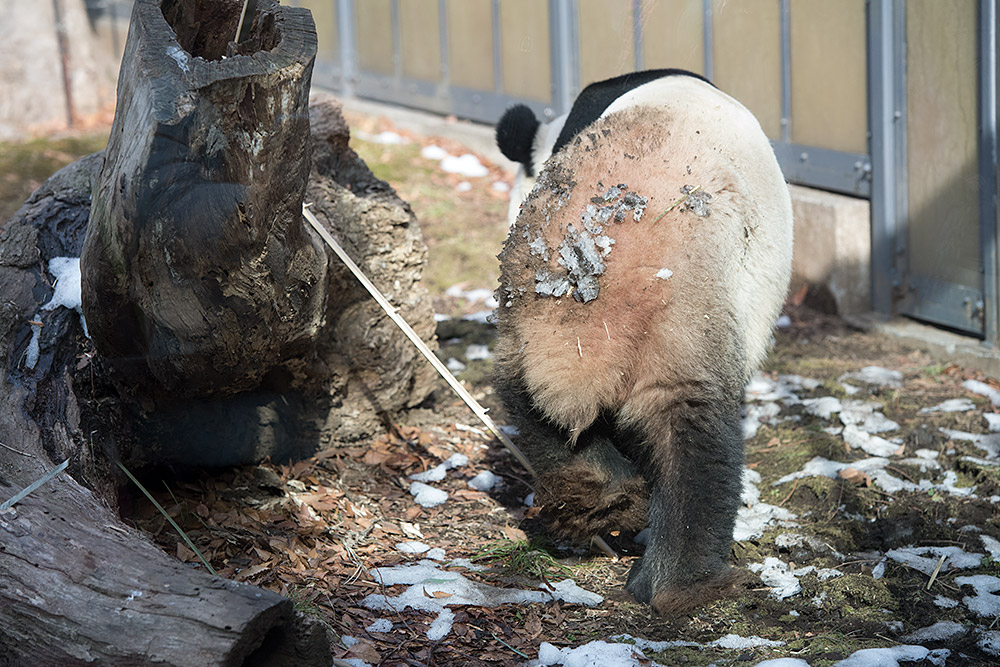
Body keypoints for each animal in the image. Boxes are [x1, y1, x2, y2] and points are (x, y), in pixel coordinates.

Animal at [492, 70, 788, 612]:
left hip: (526, 327)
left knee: (530, 406)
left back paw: (603, 498)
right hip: (686, 316)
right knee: (692, 434)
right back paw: (690, 585)